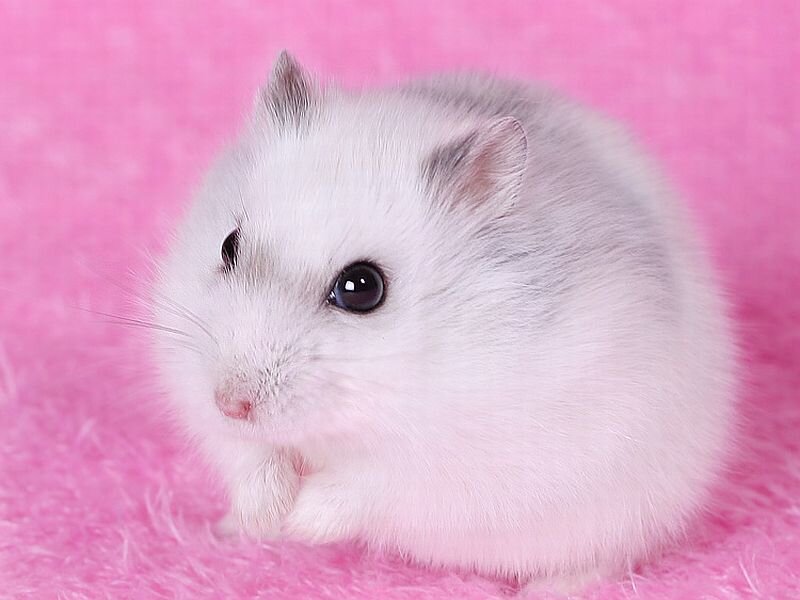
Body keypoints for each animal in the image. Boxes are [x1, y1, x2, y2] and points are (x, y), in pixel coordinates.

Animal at [152, 52, 736, 591]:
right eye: (228, 246)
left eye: (362, 288)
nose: (231, 403)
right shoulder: (195, 387)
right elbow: (249, 456)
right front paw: (266, 517)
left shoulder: (451, 463)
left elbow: (367, 484)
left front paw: (300, 523)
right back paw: (229, 529)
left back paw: (549, 589)